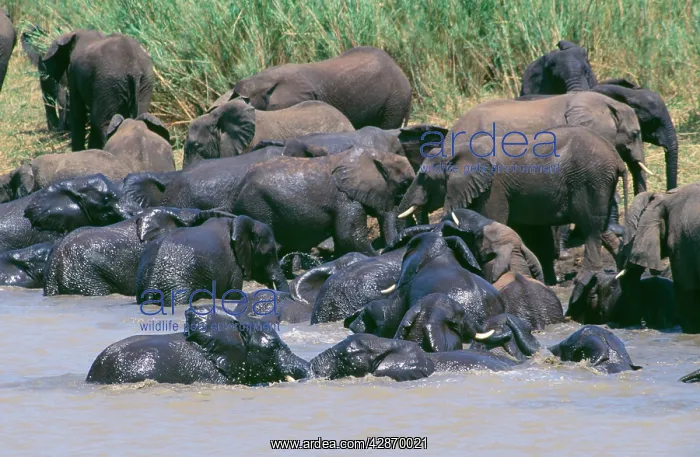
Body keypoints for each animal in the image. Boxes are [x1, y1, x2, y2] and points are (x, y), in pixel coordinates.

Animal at [398, 125, 628, 283]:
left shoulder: (494, 188)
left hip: (590, 179)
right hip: (600, 183)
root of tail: (617, 159)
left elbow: (495, 219)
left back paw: (587, 276)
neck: (459, 149)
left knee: (590, 227)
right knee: (603, 228)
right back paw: (618, 268)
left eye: (424, 177)